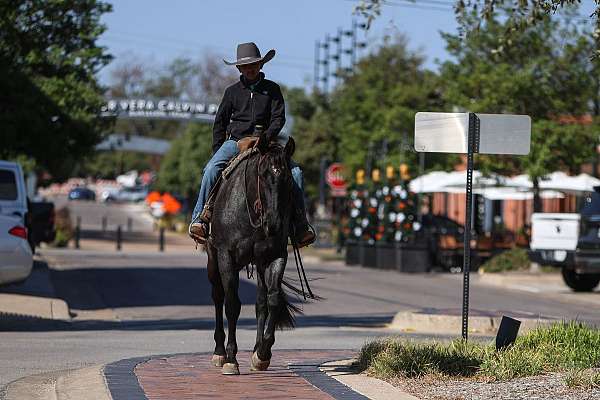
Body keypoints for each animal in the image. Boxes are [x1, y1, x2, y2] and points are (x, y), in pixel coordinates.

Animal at [206, 141, 302, 376]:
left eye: (288, 179)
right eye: (262, 174)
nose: (274, 223)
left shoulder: (275, 256)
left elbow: (272, 300)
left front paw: (262, 353)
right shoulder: (226, 256)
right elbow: (232, 304)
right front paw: (231, 358)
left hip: (259, 263)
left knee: (261, 302)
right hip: (213, 261)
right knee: (218, 296)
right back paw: (219, 352)